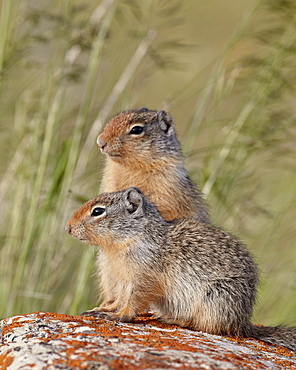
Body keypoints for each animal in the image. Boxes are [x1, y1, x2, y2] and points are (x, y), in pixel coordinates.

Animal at [66, 188, 296, 352]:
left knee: (207, 326)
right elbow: (118, 298)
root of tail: (243, 322)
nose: (68, 227)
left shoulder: (142, 279)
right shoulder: (120, 279)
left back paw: (171, 318)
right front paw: (103, 310)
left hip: (214, 299)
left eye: (98, 211)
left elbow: (133, 302)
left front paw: (119, 316)